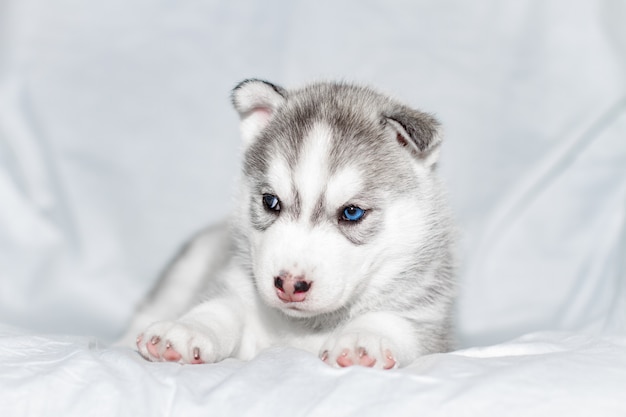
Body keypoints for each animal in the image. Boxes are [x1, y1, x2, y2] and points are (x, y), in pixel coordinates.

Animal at [130, 79, 454, 368]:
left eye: (351, 212)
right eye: (270, 202)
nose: (288, 284)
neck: (308, 326)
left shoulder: (428, 322)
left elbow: (392, 321)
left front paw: (363, 339)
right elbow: (222, 307)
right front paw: (186, 329)